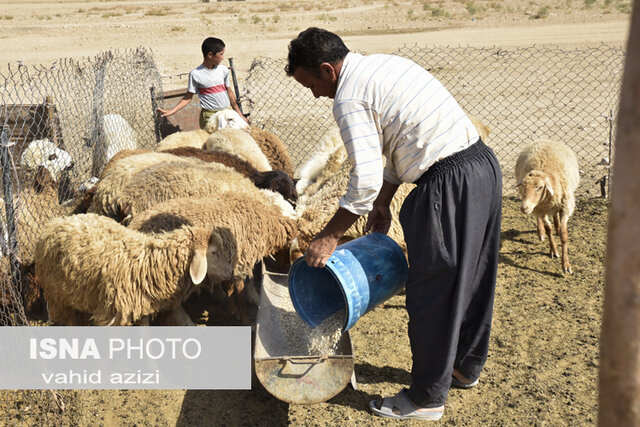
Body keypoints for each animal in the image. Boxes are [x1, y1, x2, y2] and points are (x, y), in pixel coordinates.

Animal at [33, 214, 232, 328]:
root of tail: (57, 221)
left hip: (81, 293)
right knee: (70, 321)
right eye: (214, 252)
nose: (230, 272)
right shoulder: (113, 312)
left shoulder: (140, 307)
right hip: (58, 296)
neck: (152, 263)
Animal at [516, 139, 580, 276]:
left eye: (540, 187)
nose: (524, 208)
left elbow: (564, 234)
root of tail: (543, 139)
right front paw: (553, 250)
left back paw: (557, 226)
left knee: (555, 216)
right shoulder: (541, 209)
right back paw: (541, 233)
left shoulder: (565, 207)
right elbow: (548, 228)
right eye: (523, 186)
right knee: (541, 220)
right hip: (537, 208)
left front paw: (566, 265)